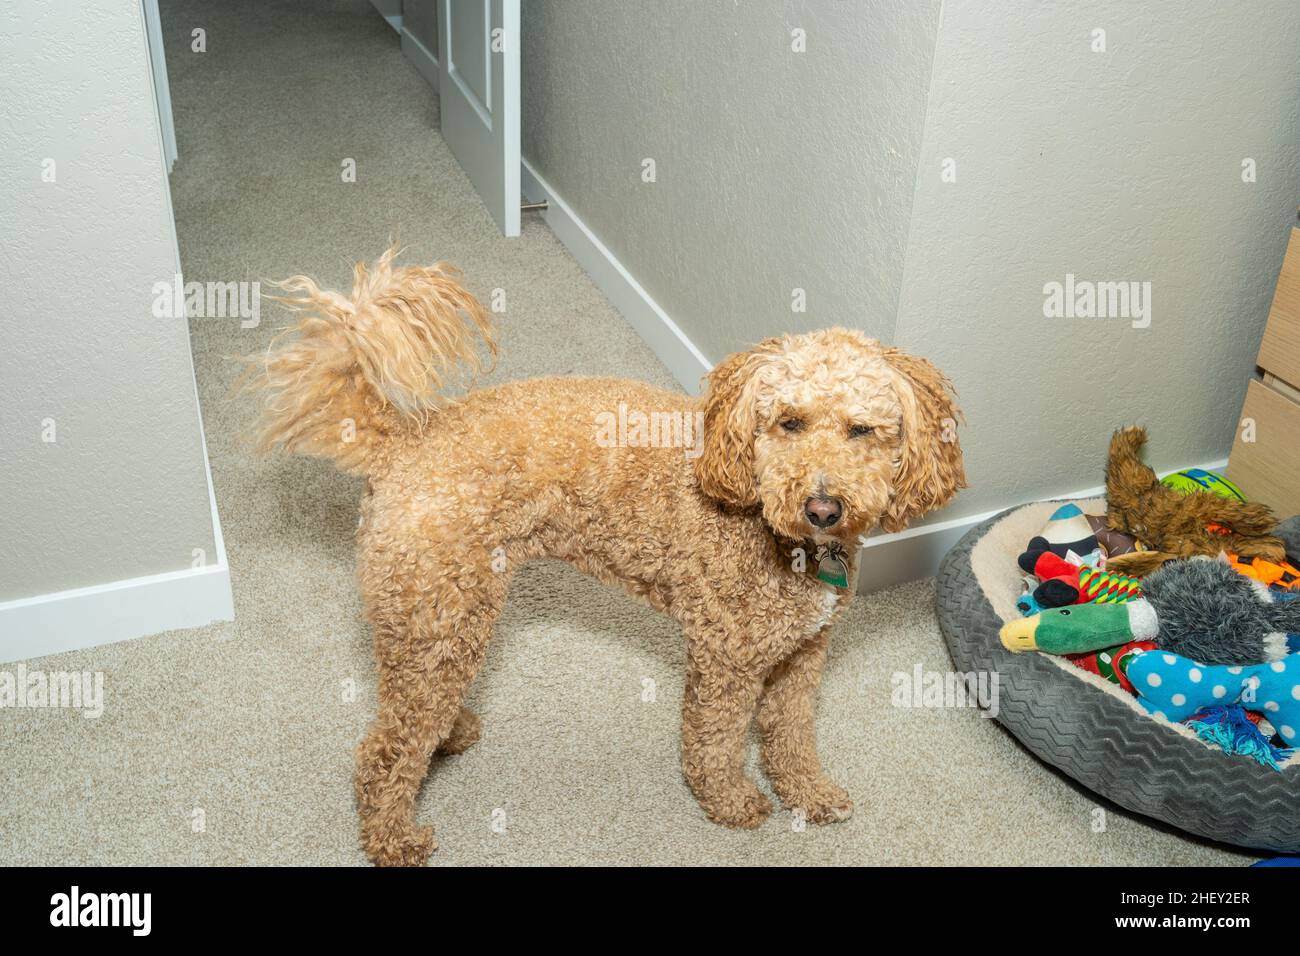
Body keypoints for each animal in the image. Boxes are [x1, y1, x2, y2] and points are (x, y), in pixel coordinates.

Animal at [250, 247, 967, 868]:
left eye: (862, 430)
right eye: (788, 422)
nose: (822, 506)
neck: (766, 524)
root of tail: (401, 438)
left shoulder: (802, 654)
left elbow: (790, 734)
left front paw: (809, 794)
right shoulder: (728, 660)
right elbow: (715, 741)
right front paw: (732, 803)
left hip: (437, 621)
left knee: (409, 712)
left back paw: (449, 735)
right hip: (440, 614)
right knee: (385, 748)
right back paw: (394, 837)